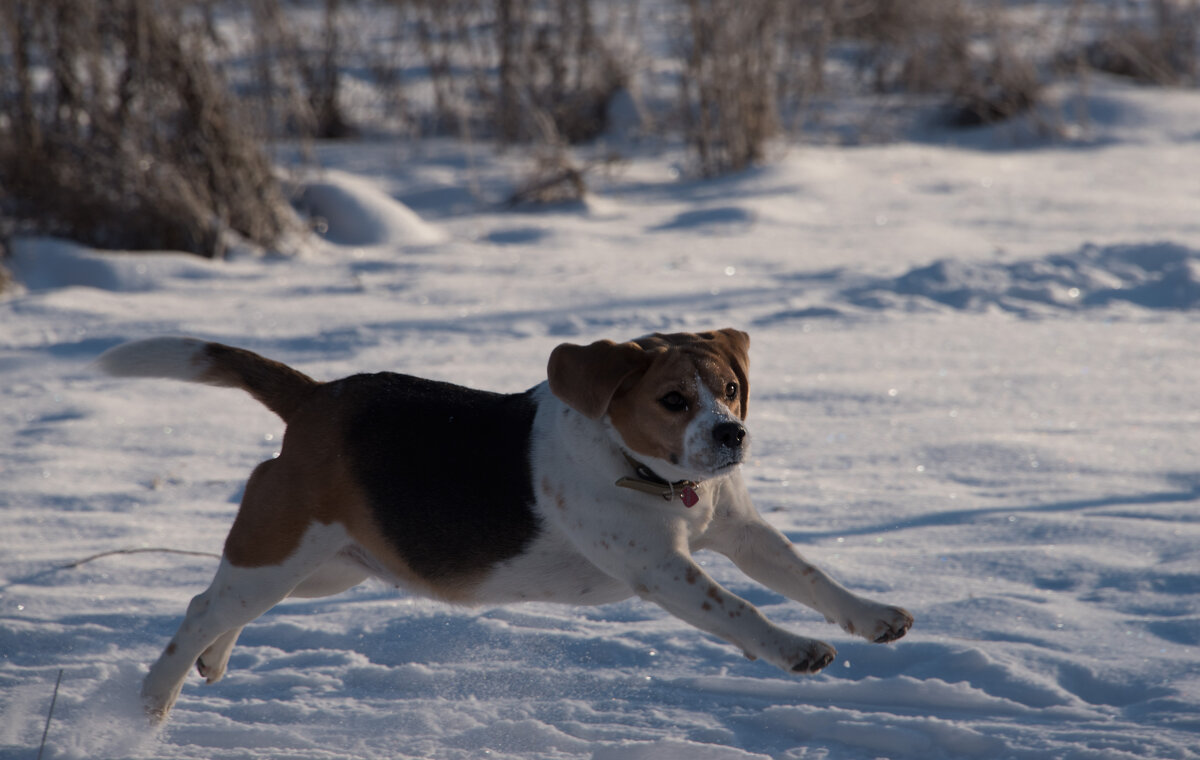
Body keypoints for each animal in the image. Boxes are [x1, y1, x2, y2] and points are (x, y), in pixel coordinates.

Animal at [100, 328, 907, 720]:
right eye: (674, 400)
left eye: (733, 388)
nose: (733, 434)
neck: (645, 470)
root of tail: (316, 398)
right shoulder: (663, 570)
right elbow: (739, 608)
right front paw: (796, 650)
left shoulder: (739, 531)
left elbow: (811, 576)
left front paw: (872, 617)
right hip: (279, 552)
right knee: (199, 610)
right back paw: (152, 704)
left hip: (325, 570)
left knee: (219, 609)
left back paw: (212, 662)